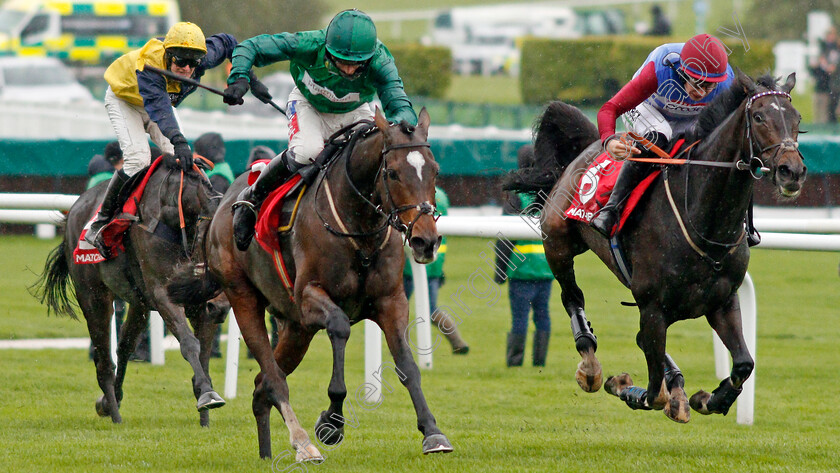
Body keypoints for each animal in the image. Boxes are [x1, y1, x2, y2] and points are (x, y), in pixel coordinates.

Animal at [32, 154, 228, 424]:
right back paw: (114, 415)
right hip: (93, 297)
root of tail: (74, 210)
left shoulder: (199, 305)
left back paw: (110, 401)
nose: (221, 308)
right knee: (103, 360)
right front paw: (207, 394)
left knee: (123, 346)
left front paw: (205, 413)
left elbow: (203, 354)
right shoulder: (164, 294)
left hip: (139, 303)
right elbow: (189, 343)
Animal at [166, 108, 452, 460]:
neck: (360, 232)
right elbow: (340, 327)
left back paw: (267, 453)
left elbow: (408, 366)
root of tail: (222, 203)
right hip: (244, 298)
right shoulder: (308, 297)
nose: (426, 241)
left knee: (261, 386)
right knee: (273, 378)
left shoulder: (391, 300)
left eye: (434, 171)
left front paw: (433, 433)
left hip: (295, 328)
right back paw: (303, 443)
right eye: (394, 173)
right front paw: (332, 421)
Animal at [506, 72, 808, 422]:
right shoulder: (652, 307)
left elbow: (744, 363)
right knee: (573, 297)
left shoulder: (722, 301)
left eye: (797, 119)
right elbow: (651, 393)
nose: (792, 171)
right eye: (758, 117)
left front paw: (711, 399)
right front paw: (626, 386)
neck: (703, 222)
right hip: (557, 243)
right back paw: (591, 365)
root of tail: (592, 143)